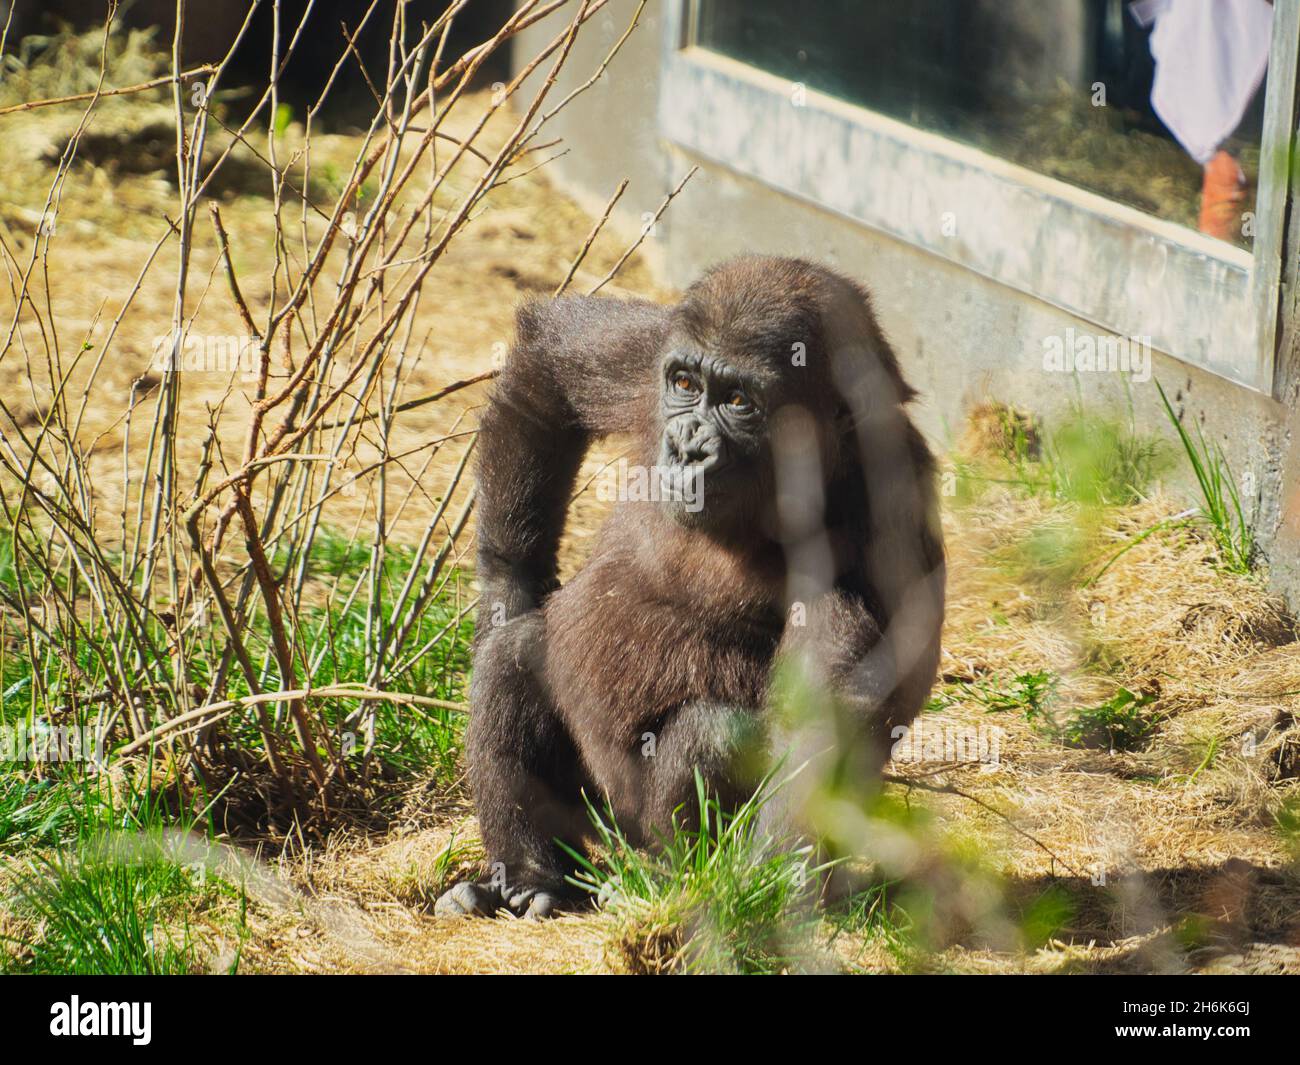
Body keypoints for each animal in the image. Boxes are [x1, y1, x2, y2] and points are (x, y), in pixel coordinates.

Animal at [439, 256, 946, 915]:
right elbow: (547, 363)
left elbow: (835, 717)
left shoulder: (889, 503)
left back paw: (670, 876)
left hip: (636, 834)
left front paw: (763, 888)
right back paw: (530, 872)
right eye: (685, 384)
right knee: (515, 654)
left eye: (738, 401)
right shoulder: (649, 355)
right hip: (597, 819)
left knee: (715, 735)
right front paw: (507, 589)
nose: (686, 448)